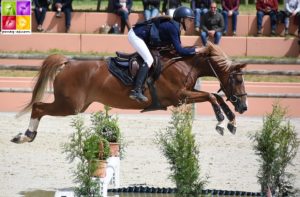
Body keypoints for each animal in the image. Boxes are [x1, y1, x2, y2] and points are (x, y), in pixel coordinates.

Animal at [11, 42, 247, 143]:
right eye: (237, 79)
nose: (244, 107)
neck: (184, 63)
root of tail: (68, 63)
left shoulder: (185, 94)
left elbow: (216, 96)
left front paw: (232, 122)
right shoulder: (179, 96)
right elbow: (211, 96)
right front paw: (220, 122)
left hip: (74, 105)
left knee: (39, 107)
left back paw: (27, 135)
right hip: (70, 106)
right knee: (38, 107)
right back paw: (26, 135)